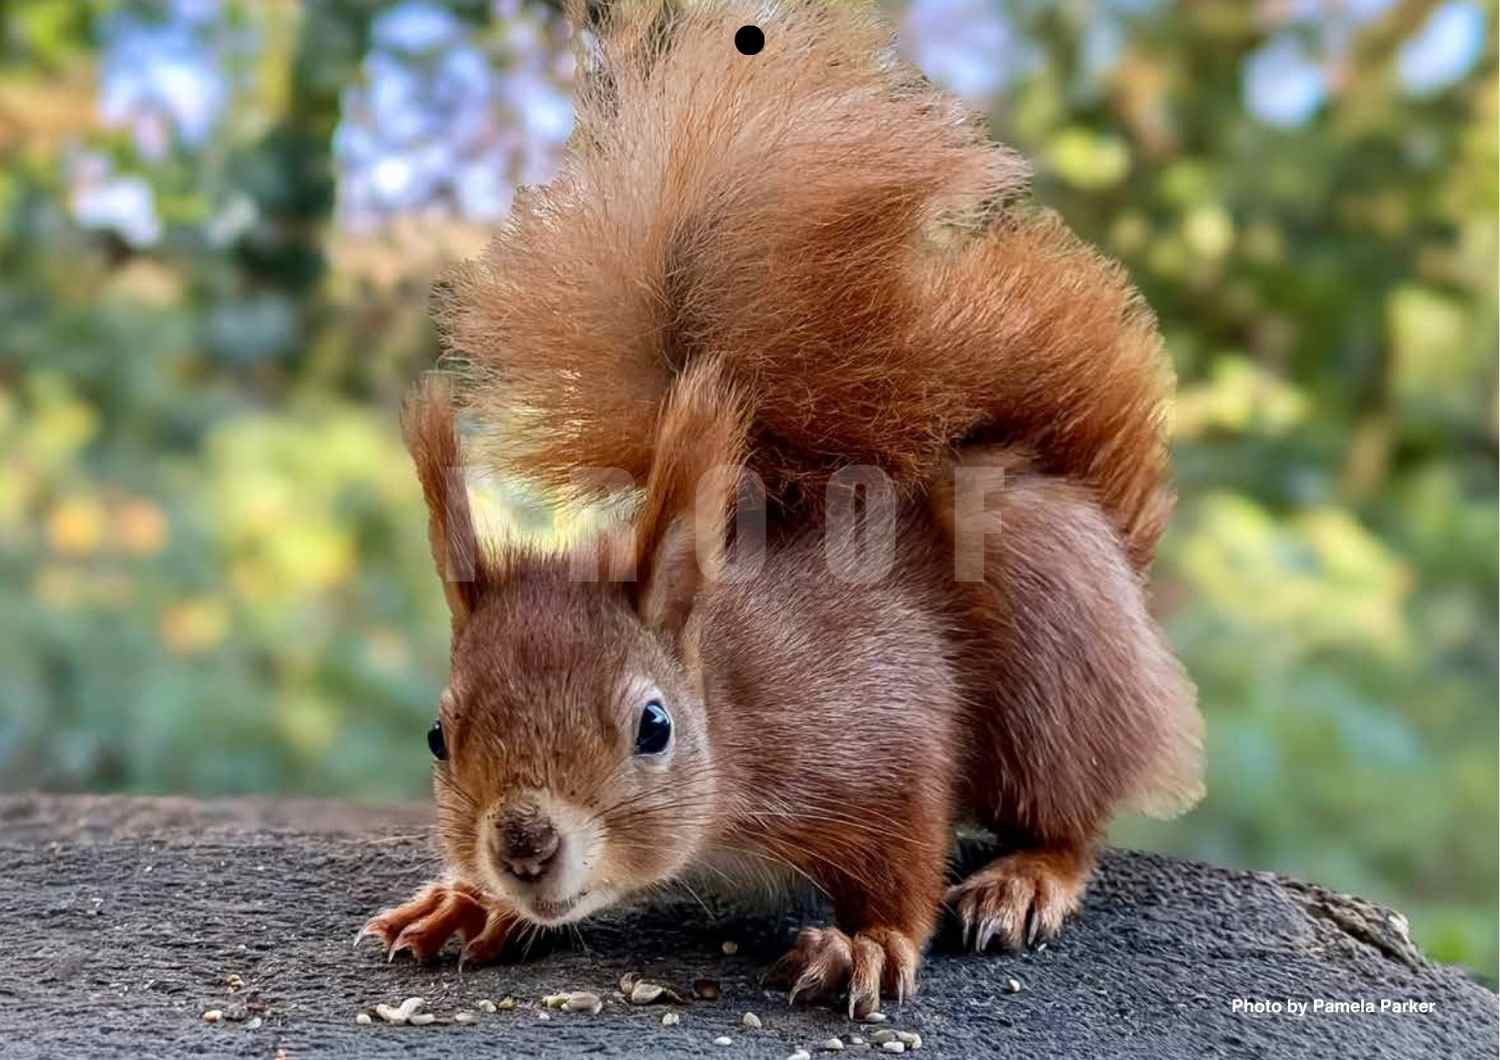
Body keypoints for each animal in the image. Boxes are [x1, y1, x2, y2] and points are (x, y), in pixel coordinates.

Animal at [359, 0, 1203, 1016]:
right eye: (438, 735)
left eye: (654, 727)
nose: (523, 844)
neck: (728, 694)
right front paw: (471, 904)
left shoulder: (879, 721)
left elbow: (903, 854)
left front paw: (868, 944)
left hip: (1060, 668)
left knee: (1072, 813)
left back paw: (1026, 877)